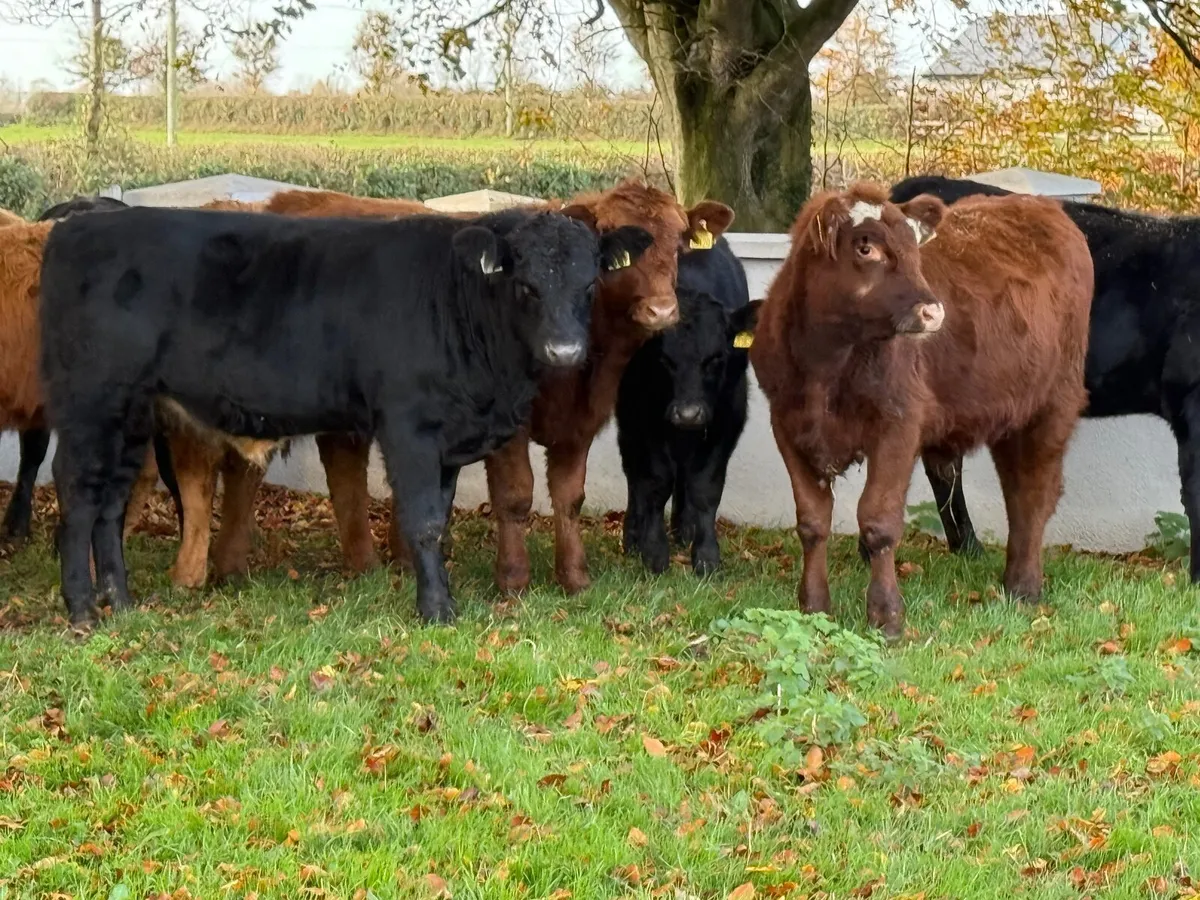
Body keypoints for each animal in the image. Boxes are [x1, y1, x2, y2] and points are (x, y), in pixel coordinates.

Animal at [39, 205, 653, 627]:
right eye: (525, 285)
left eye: (590, 284)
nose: (565, 352)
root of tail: (86, 222)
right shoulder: (409, 427)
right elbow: (423, 521)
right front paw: (437, 611)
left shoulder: (448, 436)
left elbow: (441, 517)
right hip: (90, 404)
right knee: (78, 497)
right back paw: (83, 611)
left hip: (131, 415)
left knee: (110, 503)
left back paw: (120, 602)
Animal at [616, 236, 759, 576]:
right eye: (664, 359)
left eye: (717, 357)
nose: (688, 413)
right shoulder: (641, 417)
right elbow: (655, 481)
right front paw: (653, 552)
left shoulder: (727, 416)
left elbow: (705, 486)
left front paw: (706, 555)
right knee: (634, 476)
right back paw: (633, 534)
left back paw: (685, 529)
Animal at [750, 183, 1093, 638]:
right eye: (865, 247)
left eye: (914, 248)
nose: (933, 311)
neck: (824, 366)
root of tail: (1036, 205)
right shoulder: (787, 425)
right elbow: (812, 521)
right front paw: (814, 606)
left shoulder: (898, 424)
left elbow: (878, 521)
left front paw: (886, 617)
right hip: (1010, 410)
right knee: (1016, 489)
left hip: (1054, 402)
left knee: (1034, 493)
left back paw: (1024, 586)